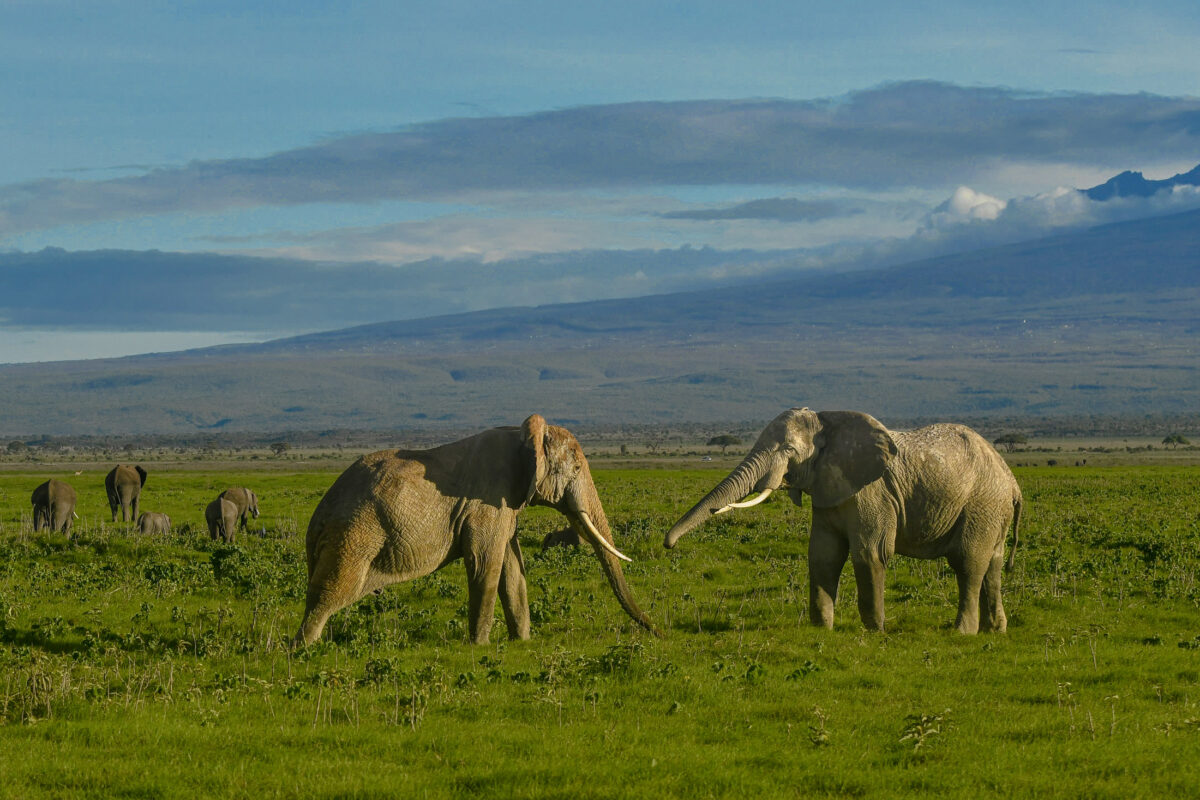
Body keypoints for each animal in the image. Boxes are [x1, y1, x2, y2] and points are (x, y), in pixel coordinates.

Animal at [294, 414, 659, 646]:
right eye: (579, 467)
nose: (659, 632)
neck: (524, 436)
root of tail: (317, 517)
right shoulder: (488, 502)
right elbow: (488, 564)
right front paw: (479, 646)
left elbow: (513, 569)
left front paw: (521, 642)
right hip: (354, 535)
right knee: (331, 593)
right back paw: (302, 650)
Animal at [665, 408, 1023, 635]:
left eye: (789, 450)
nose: (668, 544)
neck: (829, 423)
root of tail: (1012, 482)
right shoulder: (828, 488)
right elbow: (823, 555)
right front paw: (821, 628)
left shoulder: (871, 492)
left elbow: (869, 553)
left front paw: (875, 631)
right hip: (993, 511)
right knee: (993, 566)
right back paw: (995, 630)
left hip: (982, 504)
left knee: (968, 564)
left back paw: (963, 632)